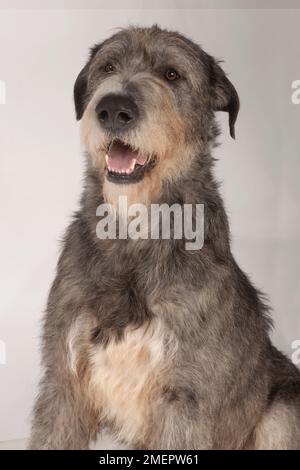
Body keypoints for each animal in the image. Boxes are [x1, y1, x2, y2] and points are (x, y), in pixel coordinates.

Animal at [28, 26, 300, 452]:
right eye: (108, 67)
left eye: (172, 74)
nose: (113, 108)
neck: (133, 236)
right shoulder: (63, 380)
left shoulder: (184, 398)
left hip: (284, 408)